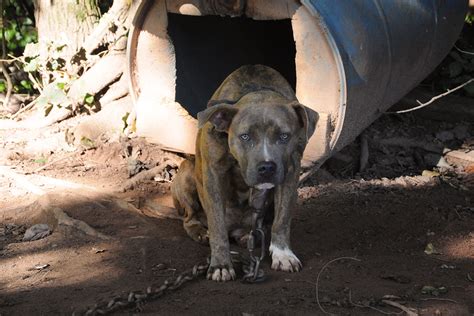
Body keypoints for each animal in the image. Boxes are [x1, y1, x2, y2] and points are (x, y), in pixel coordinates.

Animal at [171, 64, 318, 282]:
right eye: (245, 136)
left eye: (284, 136)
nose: (267, 167)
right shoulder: (213, 175)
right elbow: (217, 226)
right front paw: (221, 264)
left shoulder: (290, 172)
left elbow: (282, 219)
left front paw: (283, 254)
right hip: (187, 173)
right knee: (190, 218)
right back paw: (201, 232)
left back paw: (249, 235)